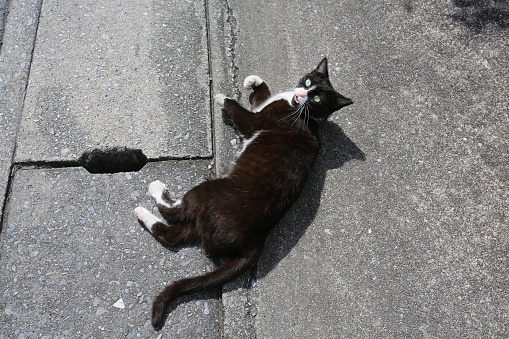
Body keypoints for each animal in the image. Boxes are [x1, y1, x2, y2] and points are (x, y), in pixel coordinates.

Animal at [133, 57, 352, 330]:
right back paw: (145, 213)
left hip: (208, 192)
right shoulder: (265, 107)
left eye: (318, 99)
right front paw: (253, 81)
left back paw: (153, 194)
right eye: (309, 81)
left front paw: (220, 96)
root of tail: (255, 242)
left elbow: (238, 110)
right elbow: (262, 96)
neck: (302, 113)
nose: (302, 94)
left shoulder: (255, 123)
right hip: (201, 222)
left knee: (173, 214)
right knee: (171, 235)